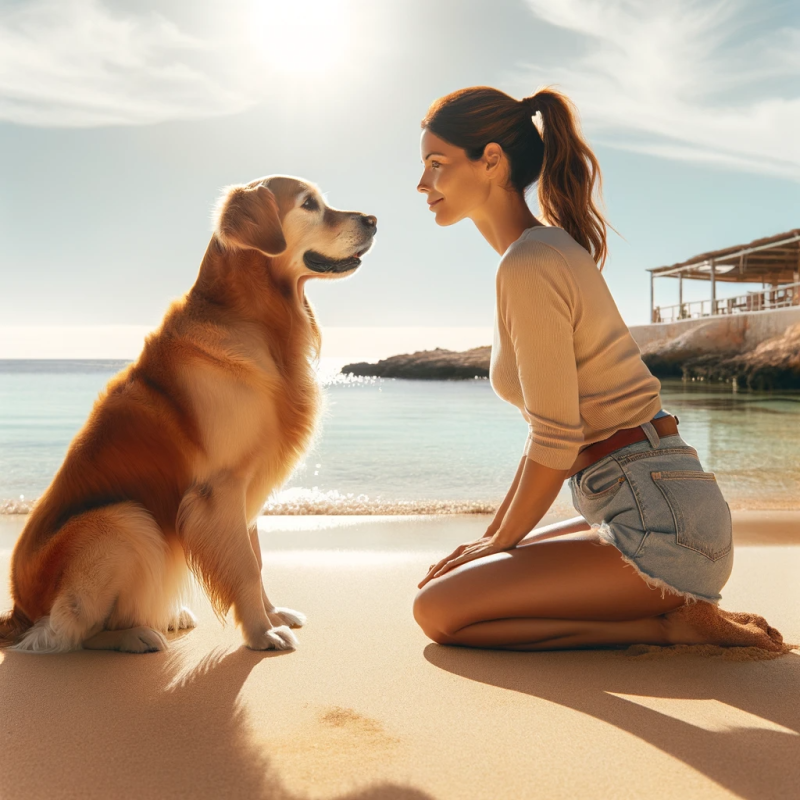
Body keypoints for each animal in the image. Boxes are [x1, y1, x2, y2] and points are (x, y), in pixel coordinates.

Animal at [0, 175, 378, 648]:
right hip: (123, 520)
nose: (374, 220)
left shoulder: (247, 489)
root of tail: (17, 611)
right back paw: (135, 637)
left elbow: (256, 561)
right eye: (310, 204)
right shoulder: (221, 487)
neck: (256, 318)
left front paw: (273, 615)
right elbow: (246, 569)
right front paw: (261, 634)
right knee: (67, 630)